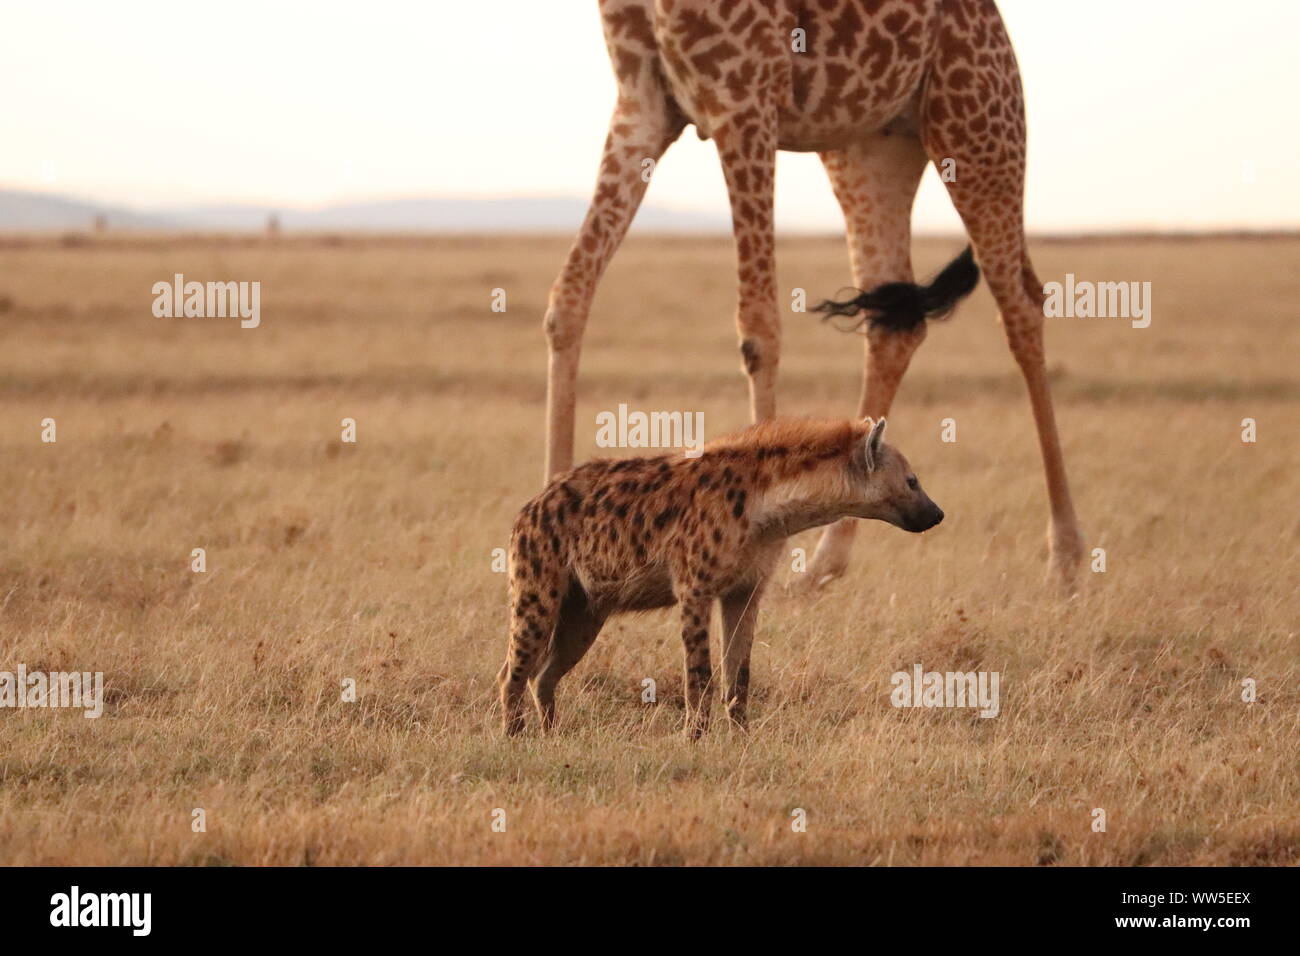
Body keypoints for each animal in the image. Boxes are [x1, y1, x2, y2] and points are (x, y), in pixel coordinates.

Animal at [541, 0, 1083, 590]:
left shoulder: (745, 102)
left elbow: (758, 330)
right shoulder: (643, 102)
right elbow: (568, 299)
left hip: (977, 123)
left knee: (1023, 304)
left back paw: (1066, 559)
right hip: (871, 148)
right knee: (897, 325)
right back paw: (823, 566)